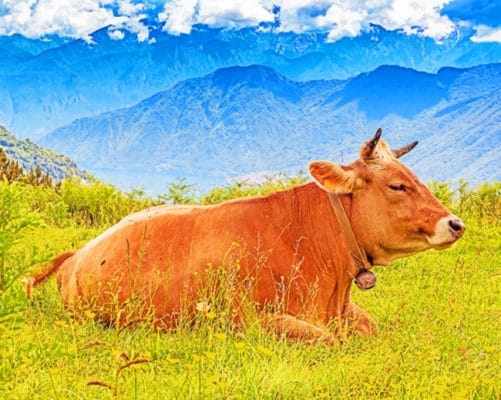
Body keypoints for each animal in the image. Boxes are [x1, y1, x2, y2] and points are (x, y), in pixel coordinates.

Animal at [24, 130, 464, 342]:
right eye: (397, 185)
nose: (455, 224)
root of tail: (78, 253)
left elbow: (371, 331)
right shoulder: (250, 321)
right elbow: (328, 341)